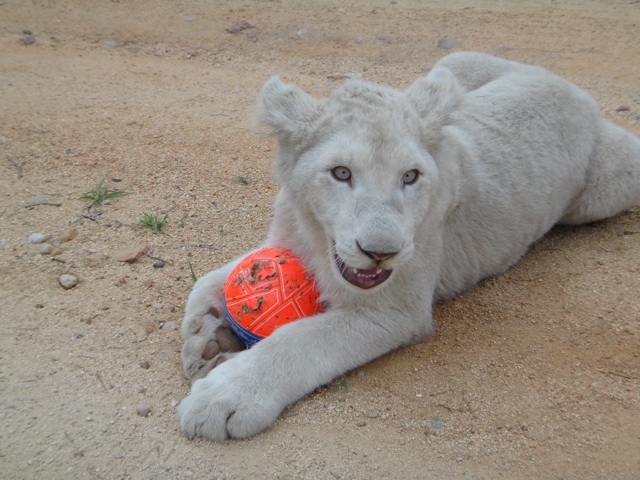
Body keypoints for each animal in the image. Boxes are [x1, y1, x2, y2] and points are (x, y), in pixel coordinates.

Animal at [177, 52, 640, 441]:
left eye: (411, 176)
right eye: (341, 173)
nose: (381, 252)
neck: (315, 237)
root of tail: (567, 84)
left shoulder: (394, 312)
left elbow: (301, 340)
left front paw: (223, 398)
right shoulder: (279, 241)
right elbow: (210, 279)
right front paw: (207, 337)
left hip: (610, 185)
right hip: (455, 62)